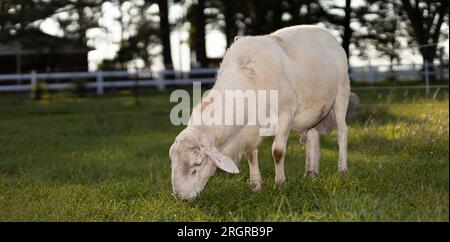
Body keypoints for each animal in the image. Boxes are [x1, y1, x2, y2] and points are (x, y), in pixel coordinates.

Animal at [169, 25, 352, 201]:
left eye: (198, 164)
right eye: (172, 162)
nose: (181, 197)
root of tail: (325, 31)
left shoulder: (286, 113)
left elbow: (277, 152)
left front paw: (280, 184)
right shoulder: (251, 128)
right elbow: (251, 154)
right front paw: (256, 186)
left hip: (342, 92)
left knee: (342, 132)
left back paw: (342, 170)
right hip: (314, 110)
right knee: (313, 135)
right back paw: (311, 173)